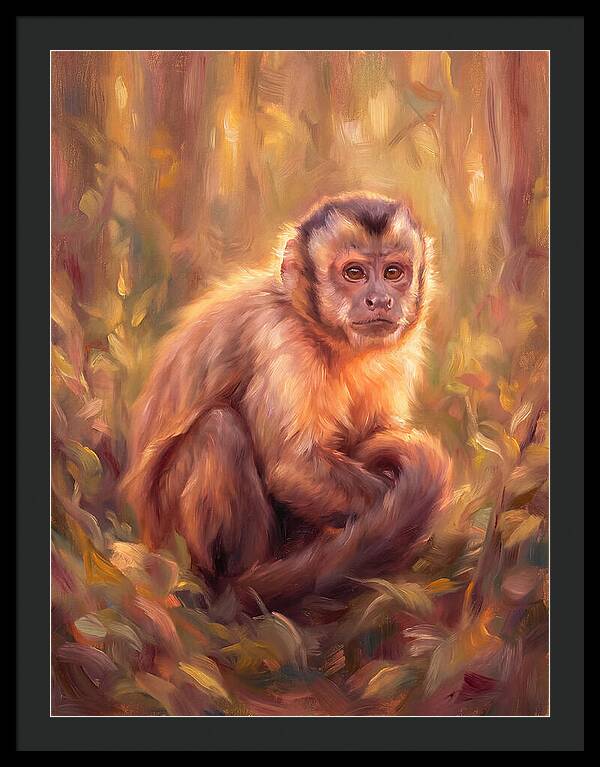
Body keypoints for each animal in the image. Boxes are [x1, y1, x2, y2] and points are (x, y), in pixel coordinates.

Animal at [121, 192, 451, 614]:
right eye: (355, 273)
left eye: (393, 272)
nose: (380, 300)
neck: (324, 336)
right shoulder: (280, 338)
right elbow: (292, 467)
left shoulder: (397, 353)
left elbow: (374, 434)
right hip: (169, 536)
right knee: (220, 429)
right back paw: (238, 584)